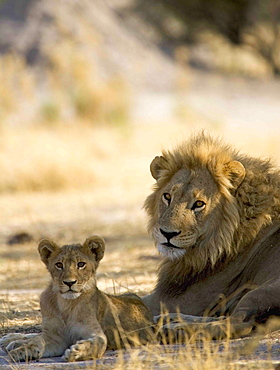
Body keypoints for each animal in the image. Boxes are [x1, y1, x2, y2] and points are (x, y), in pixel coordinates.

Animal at [0, 237, 153, 362]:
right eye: (59, 265)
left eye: (81, 264)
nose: (69, 283)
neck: (66, 304)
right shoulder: (55, 338)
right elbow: (37, 340)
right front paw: (23, 351)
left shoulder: (95, 333)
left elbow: (97, 343)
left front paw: (77, 352)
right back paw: (11, 339)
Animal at [143, 133, 280, 338]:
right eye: (167, 197)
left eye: (199, 204)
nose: (167, 233)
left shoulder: (181, 299)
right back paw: (171, 320)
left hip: (264, 290)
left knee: (238, 323)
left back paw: (174, 329)